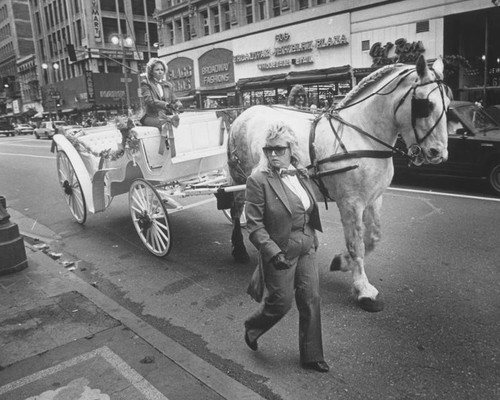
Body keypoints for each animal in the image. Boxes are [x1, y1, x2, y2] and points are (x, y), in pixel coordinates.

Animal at [227, 55, 450, 312]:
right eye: (425, 105)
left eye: (448, 103)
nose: (438, 153)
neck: (361, 135)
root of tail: (243, 114)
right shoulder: (350, 203)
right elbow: (356, 244)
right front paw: (363, 289)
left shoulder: (374, 199)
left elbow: (372, 238)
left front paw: (341, 262)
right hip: (241, 178)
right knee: (236, 210)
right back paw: (239, 249)